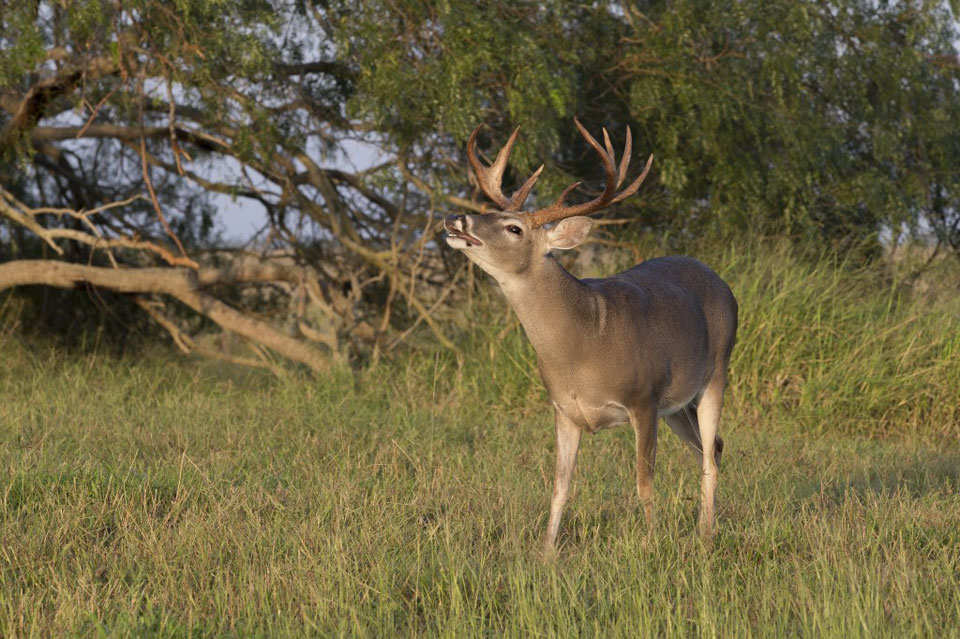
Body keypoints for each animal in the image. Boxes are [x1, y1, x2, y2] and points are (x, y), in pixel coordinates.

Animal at [446, 120, 740, 556]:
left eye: (514, 228)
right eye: (490, 212)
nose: (456, 219)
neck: (583, 343)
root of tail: (725, 286)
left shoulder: (643, 398)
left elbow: (643, 482)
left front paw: (650, 544)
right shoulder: (563, 409)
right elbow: (560, 485)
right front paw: (546, 551)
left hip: (716, 373)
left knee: (709, 454)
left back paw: (706, 534)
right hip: (676, 406)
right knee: (712, 447)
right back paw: (703, 527)